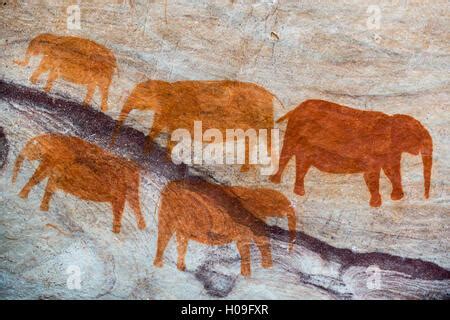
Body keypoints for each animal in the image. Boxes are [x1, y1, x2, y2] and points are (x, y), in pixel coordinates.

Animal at [12, 132, 145, 232]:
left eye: (35, 146)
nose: (12, 182)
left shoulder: (55, 159)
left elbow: (43, 178)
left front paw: (27, 199)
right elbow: (47, 180)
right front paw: (29, 201)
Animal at [270, 100, 432, 208]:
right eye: (418, 136)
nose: (426, 197)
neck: (392, 120)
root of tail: (295, 109)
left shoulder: (391, 150)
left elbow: (391, 171)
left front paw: (396, 198)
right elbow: (371, 175)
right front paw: (376, 205)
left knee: (303, 163)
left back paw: (299, 193)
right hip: (294, 130)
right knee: (287, 153)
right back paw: (276, 182)